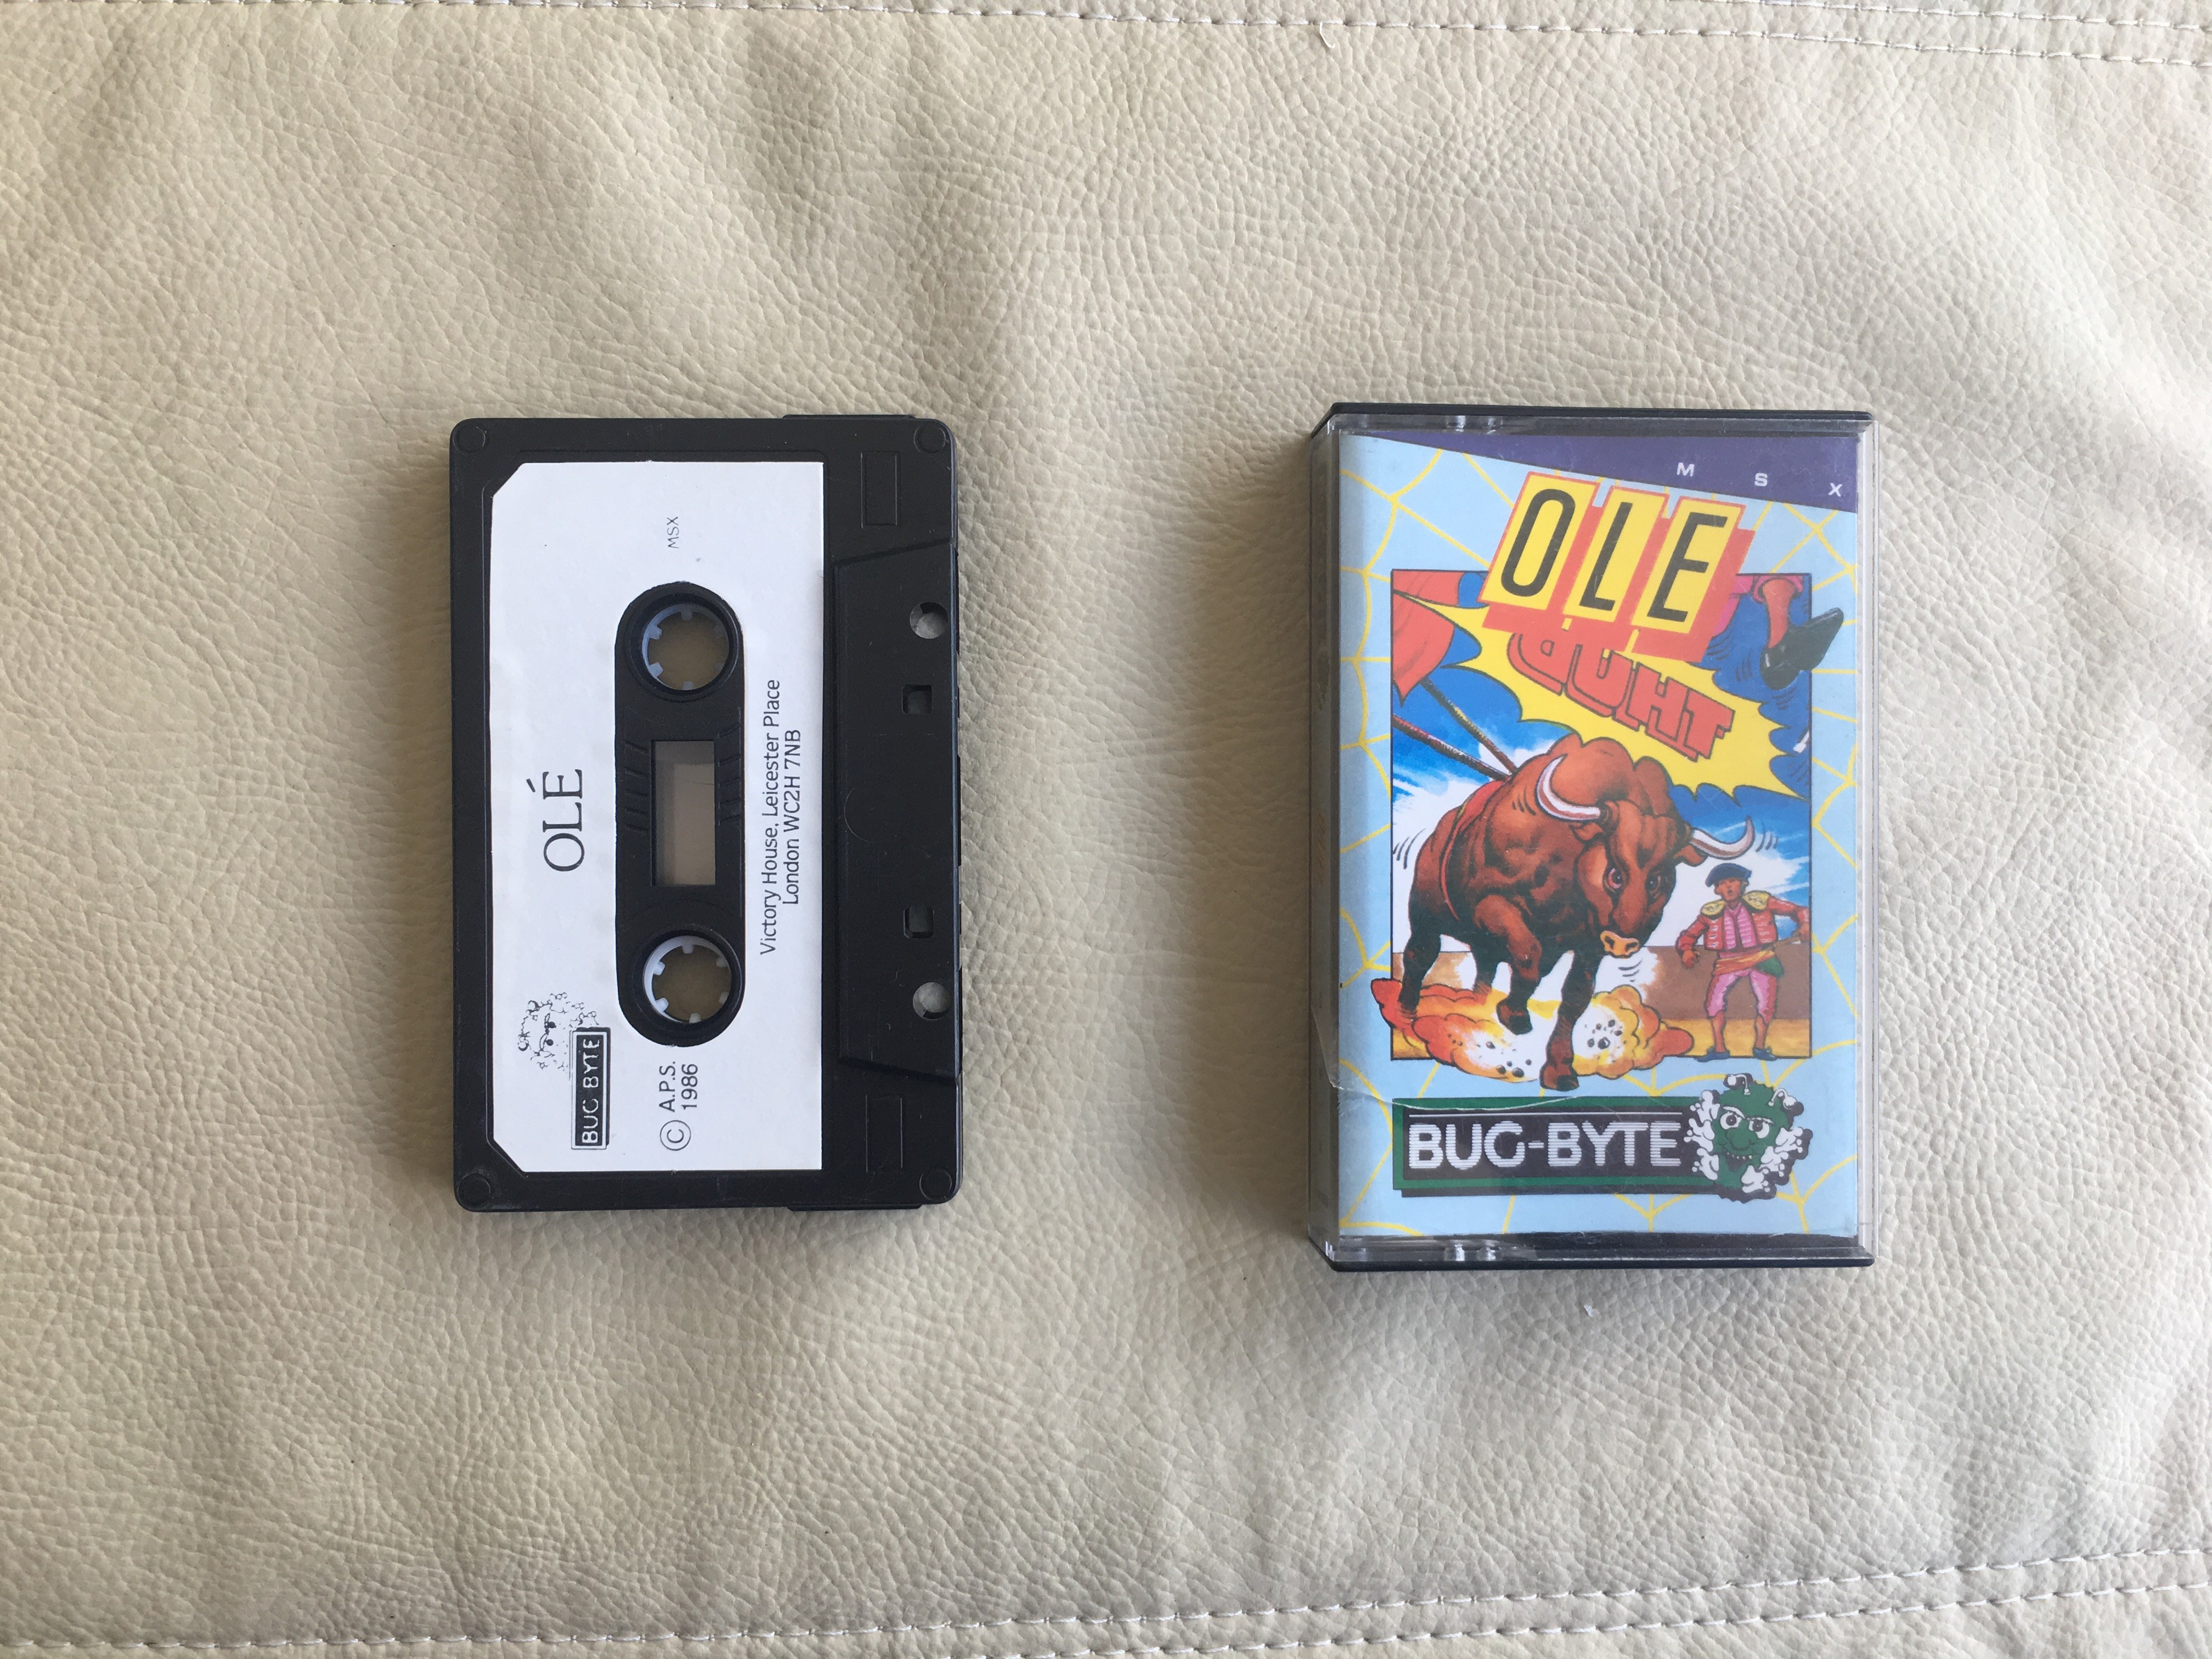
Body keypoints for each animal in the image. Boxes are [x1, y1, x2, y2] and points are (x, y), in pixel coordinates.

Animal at [1400, 733, 1753, 1092]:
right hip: (1425, 914)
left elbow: (1574, 998)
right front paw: (1514, 1015)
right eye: (1615, 875)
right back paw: (1405, 1013)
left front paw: (1559, 1071)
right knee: (1421, 954)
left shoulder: (1590, 945)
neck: (1569, 861)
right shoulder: (1492, 907)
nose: (1623, 944)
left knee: (1485, 972)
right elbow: (1527, 956)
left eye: (1658, 880)